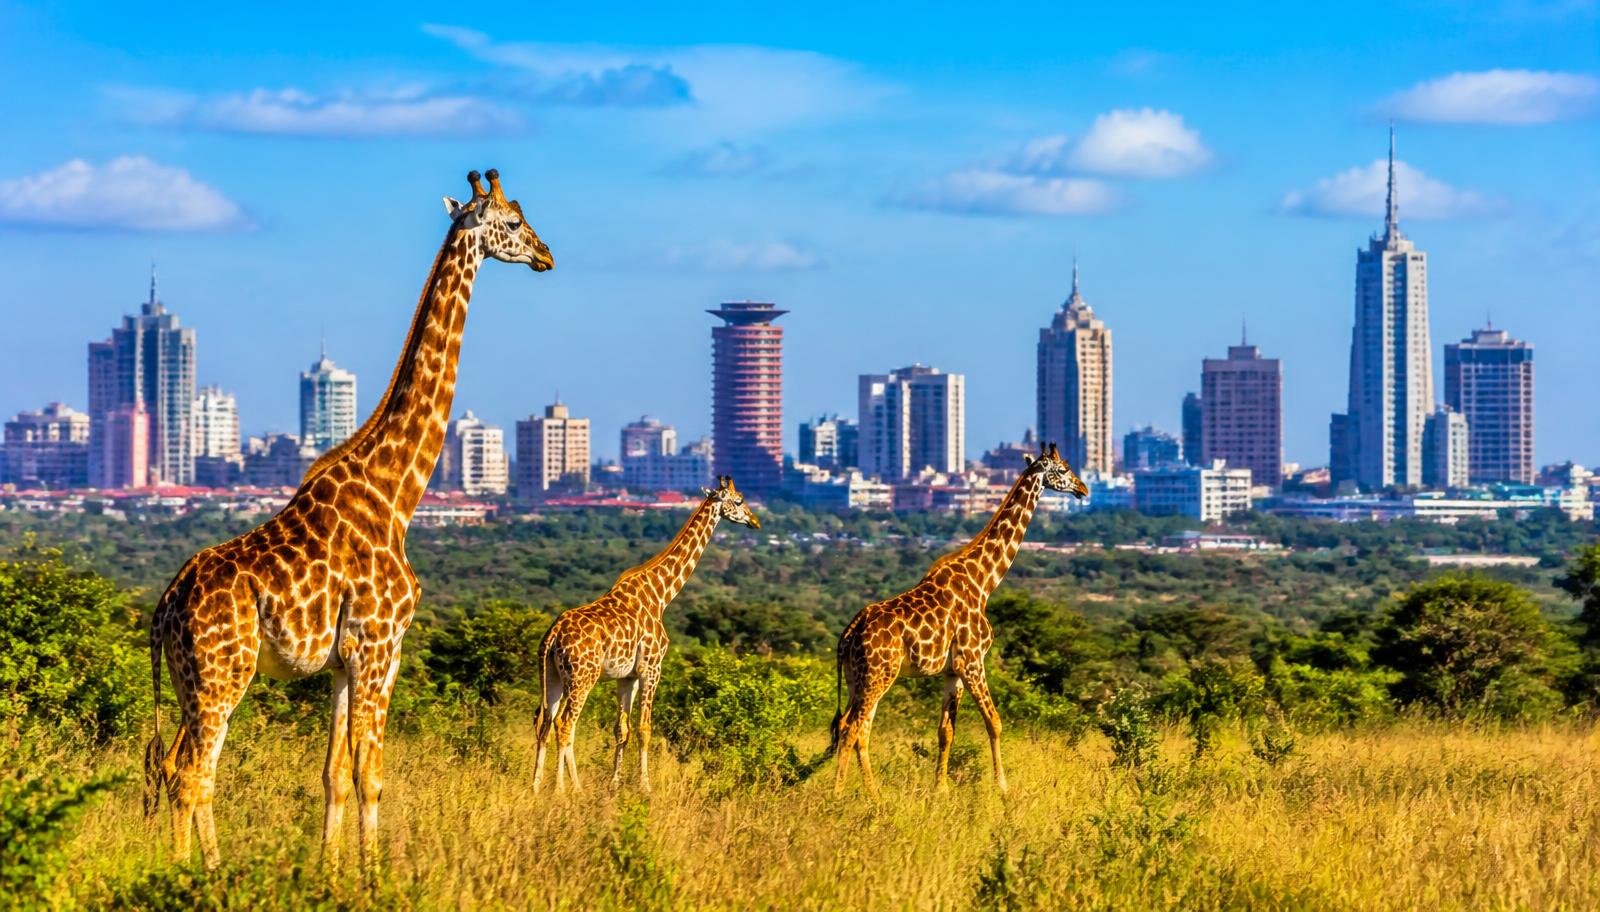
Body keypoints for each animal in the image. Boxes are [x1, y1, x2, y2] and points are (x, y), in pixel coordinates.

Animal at [141, 169, 553, 873]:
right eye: (513, 222)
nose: (547, 255)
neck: (396, 495)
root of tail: (167, 605)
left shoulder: (341, 663)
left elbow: (332, 775)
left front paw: (328, 871)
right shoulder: (381, 645)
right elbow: (371, 774)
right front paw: (371, 874)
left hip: (189, 680)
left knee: (177, 770)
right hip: (224, 675)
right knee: (194, 773)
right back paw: (204, 874)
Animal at [532, 476, 762, 794]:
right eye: (739, 501)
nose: (755, 521)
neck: (661, 594)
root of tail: (553, 634)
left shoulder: (626, 677)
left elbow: (622, 729)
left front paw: (615, 784)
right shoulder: (652, 667)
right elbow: (645, 728)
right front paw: (645, 786)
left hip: (552, 675)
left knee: (545, 721)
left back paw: (536, 787)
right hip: (582, 677)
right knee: (566, 725)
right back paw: (566, 789)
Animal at [831, 443, 1088, 795]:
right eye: (1062, 470)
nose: (1083, 489)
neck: (985, 581)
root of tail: (849, 633)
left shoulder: (953, 671)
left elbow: (945, 731)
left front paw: (941, 789)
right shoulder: (973, 661)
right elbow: (994, 722)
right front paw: (1002, 786)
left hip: (859, 677)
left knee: (855, 726)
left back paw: (874, 793)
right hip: (879, 675)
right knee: (852, 727)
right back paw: (839, 793)